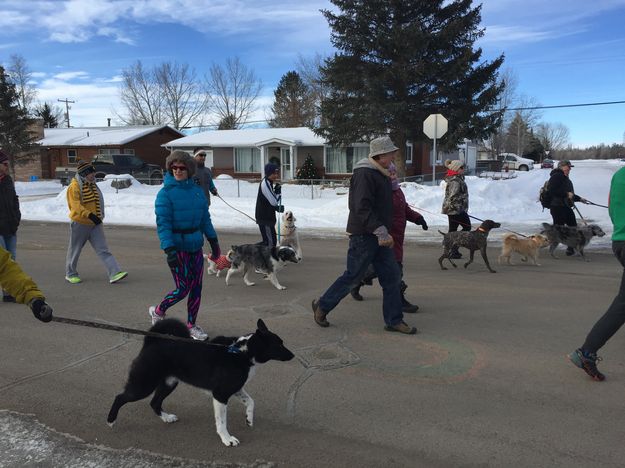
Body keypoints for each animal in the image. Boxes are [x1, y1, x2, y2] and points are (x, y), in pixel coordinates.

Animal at [106, 318, 294, 446]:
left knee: (154, 402)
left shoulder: (234, 389)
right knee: (120, 397)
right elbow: (222, 421)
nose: (292, 355)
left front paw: (249, 419)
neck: (241, 352)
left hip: (169, 383)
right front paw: (227, 439)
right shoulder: (220, 395)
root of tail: (152, 342)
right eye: (278, 345)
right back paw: (111, 420)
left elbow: (251, 402)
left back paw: (166, 418)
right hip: (144, 384)